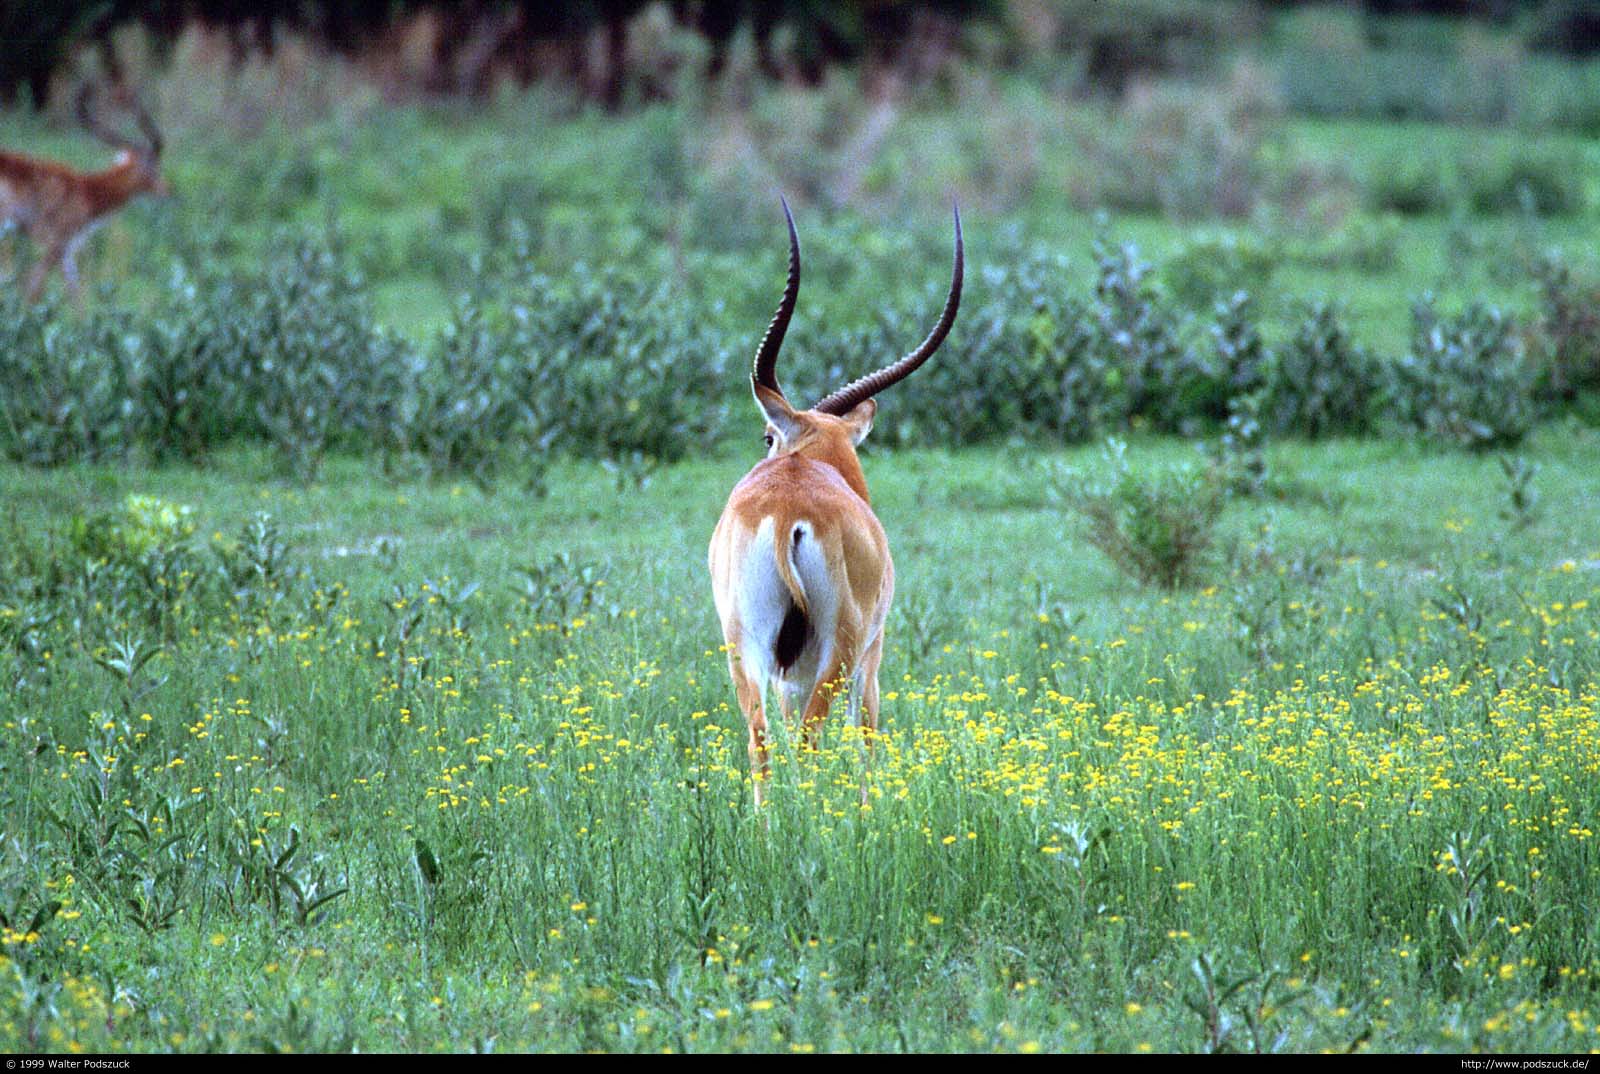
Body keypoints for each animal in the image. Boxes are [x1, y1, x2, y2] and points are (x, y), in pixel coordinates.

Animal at [0, 85, 169, 303]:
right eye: (156, 169)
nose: (167, 190)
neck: (87, 192)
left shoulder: (67, 252)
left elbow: (76, 296)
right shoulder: (55, 244)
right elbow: (34, 289)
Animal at [708, 198, 963, 807]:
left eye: (766, 437)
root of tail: (786, 516)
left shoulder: (788, 673)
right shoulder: (872, 653)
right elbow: (866, 733)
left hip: (746, 647)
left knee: (761, 736)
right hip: (838, 651)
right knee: (810, 738)